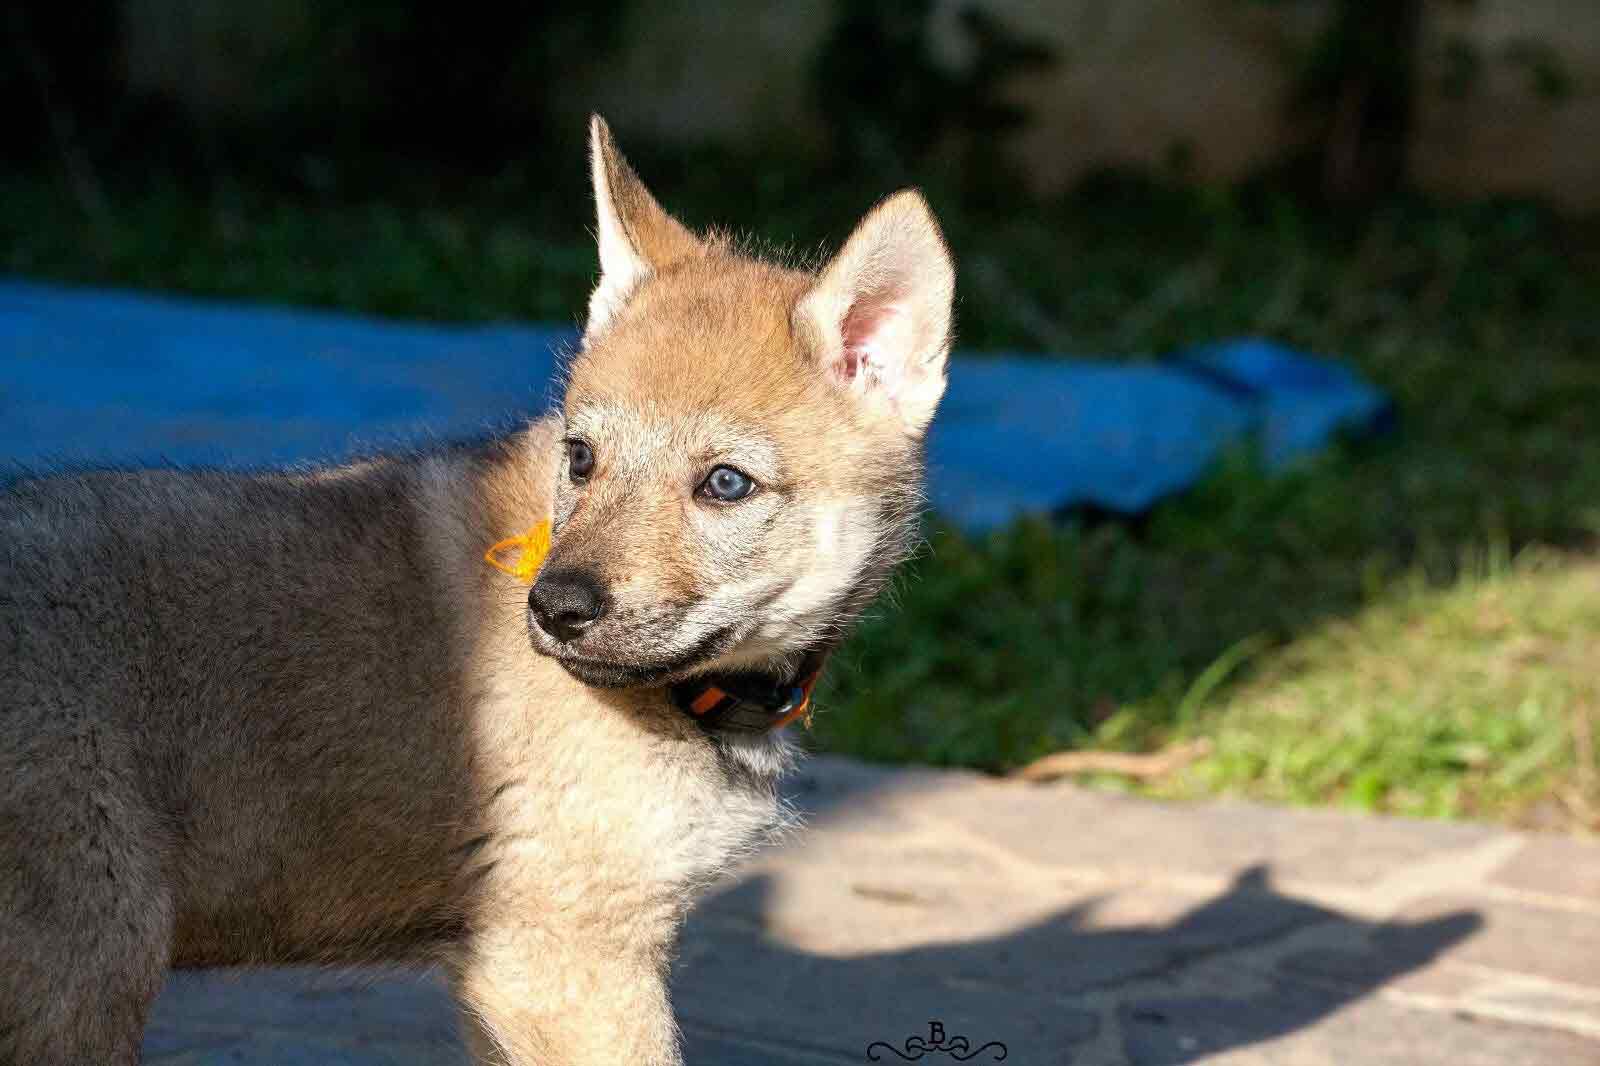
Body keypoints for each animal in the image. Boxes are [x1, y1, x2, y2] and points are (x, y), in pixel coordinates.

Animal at [0, 115, 954, 1064]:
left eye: (726, 484)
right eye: (581, 458)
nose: (554, 609)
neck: (700, 701)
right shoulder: (563, 965)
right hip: (92, 977)